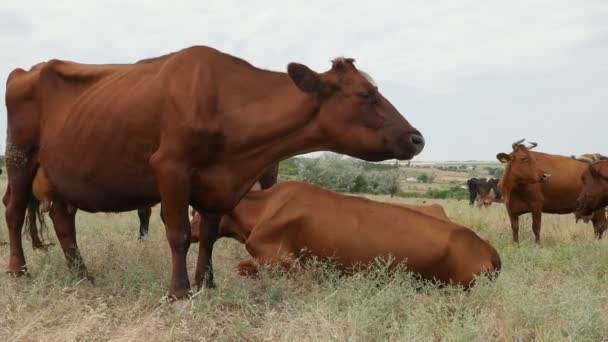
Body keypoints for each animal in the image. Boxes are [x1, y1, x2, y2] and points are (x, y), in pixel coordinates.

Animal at [5, 46, 422, 300]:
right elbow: (177, 234)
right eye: (365, 94)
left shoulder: (218, 183)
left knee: (64, 222)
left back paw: (82, 276)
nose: (417, 138)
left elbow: (207, 235)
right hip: (20, 156)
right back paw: (18, 271)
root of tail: (28, 69)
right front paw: (179, 292)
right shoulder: (170, 167)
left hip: (59, 175)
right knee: (13, 211)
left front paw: (207, 284)